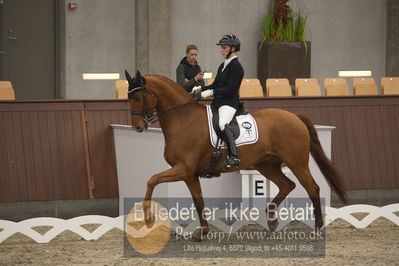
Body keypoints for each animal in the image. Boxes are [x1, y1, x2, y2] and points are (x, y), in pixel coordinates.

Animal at [126, 70, 346, 241]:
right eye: (129, 98)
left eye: (137, 98)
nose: (137, 127)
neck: (183, 119)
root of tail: (295, 116)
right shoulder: (190, 174)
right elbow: (199, 201)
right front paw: (202, 232)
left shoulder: (183, 169)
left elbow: (152, 180)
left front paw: (148, 218)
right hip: (266, 165)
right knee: (287, 185)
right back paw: (271, 218)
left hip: (296, 162)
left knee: (312, 188)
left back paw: (316, 230)